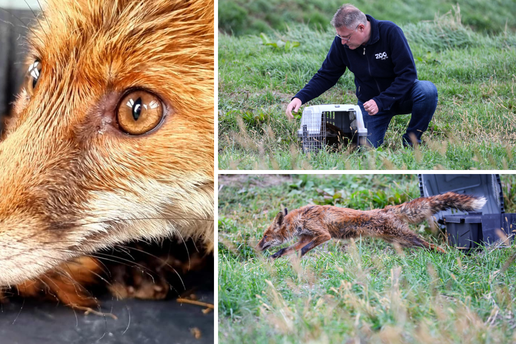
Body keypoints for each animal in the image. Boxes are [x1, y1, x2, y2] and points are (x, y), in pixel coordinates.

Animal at [260, 191, 486, 258]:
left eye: (265, 236)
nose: (257, 246)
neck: (300, 219)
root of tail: (388, 209)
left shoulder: (323, 234)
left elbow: (304, 248)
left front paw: (299, 256)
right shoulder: (306, 236)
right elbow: (289, 248)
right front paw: (276, 256)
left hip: (406, 237)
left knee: (432, 245)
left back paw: (450, 255)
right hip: (400, 240)